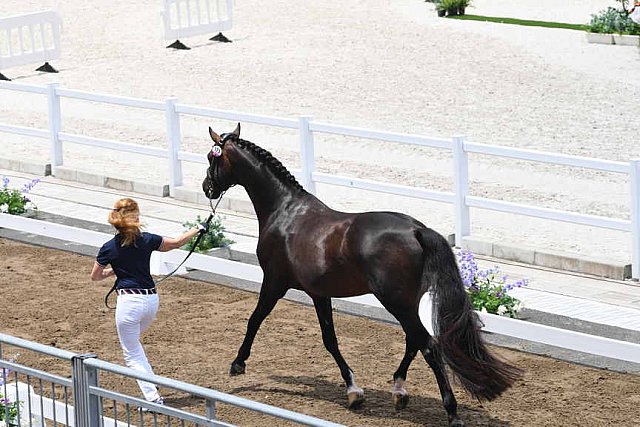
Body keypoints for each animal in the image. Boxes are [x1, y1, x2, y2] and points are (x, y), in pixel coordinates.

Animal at [202, 124, 524, 427]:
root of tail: (417, 230)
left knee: (428, 346)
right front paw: (353, 391)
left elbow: (255, 319)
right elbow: (330, 339)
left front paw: (238, 364)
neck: (285, 212)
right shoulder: (318, 293)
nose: (207, 187)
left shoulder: (274, 282)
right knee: (413, 341)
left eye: (210, 157)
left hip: (395, 301)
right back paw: (398, 391)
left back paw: (451, 412)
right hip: (406, 302)